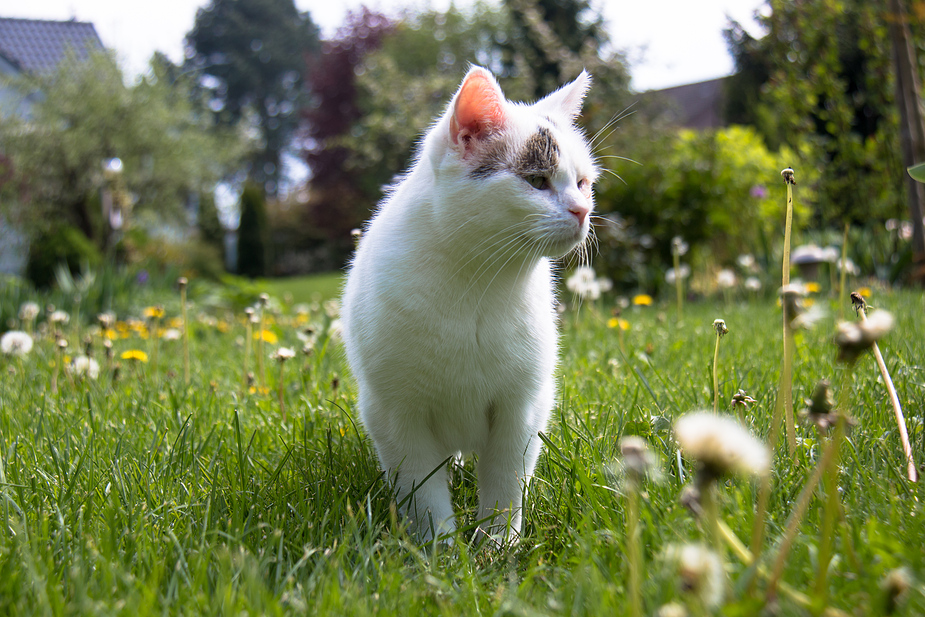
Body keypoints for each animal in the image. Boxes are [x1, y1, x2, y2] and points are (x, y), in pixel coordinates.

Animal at [342, 65, 596, 540]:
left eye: (583, 183)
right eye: (536, 180)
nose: (582, 211)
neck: (478, 286)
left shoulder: (521, 408)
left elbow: (505, 481)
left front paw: (498, 541)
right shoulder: (396, 415)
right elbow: (422, 490)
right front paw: (438, 546)